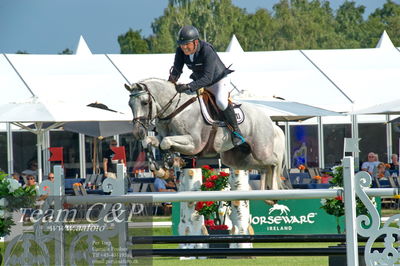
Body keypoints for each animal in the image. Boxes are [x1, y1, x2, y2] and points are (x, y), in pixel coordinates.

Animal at [125, 78, 284, 190]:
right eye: (130, 104)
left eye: (145, 103)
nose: (137, 132)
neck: (175, 110)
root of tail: (269, 121)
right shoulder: (161, 136)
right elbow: (150, 142)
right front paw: (159, 169)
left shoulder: (193, 144)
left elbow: (166, 143)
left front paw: (169, 161)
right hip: (237, 159)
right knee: (264, 168)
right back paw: (269, 198)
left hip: (261, 152)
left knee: (274, 163)